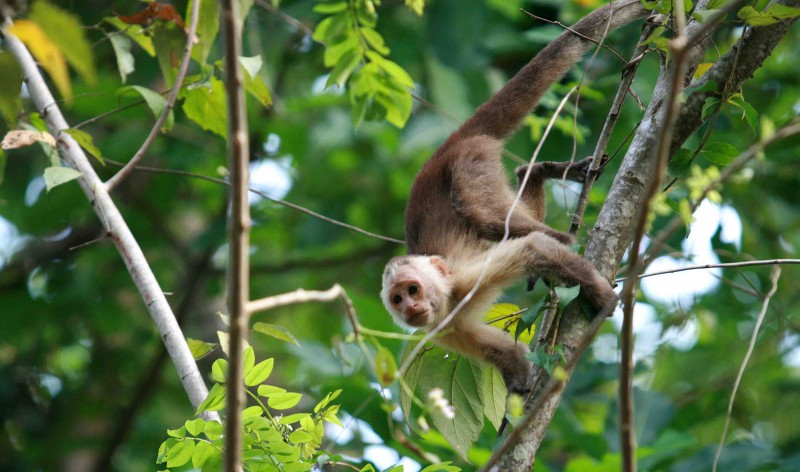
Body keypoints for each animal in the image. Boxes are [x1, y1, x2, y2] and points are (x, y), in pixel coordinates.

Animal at [381, 0, 648, 393]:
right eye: (397, 299)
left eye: (413, 289)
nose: (409, 309)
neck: (447, 300)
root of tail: (445, 148)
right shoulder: (442, 330)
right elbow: (503, 352)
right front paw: (519, 386)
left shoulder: (464, 281)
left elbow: (533, 248)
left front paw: (600, 297)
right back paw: (533, 173)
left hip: (470, 159)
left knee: (485, 214)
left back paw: (562, 239)